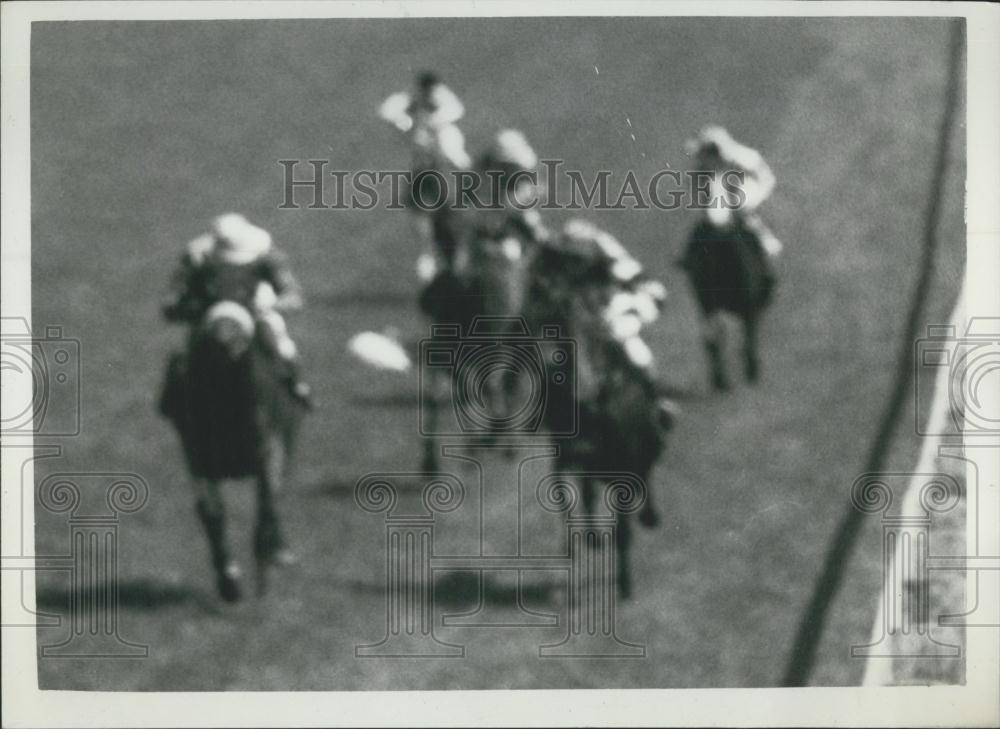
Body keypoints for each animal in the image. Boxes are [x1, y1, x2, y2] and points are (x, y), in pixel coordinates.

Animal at [156, 298, 302, 600]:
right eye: (204, 296)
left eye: (245, 297)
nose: (224, 342)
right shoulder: (199, 459)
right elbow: (212, 512)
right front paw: (229, 580)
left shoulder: (269, 452)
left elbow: (267, 506)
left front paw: (263, 573)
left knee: (276, 498)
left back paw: (279, 551)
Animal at [676, 213, 776, 390]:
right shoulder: (748, 308)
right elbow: (749, 336)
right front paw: (752, 369)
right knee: (724, 337)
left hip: (707, 305)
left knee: (712, 339)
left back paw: (719, 381)